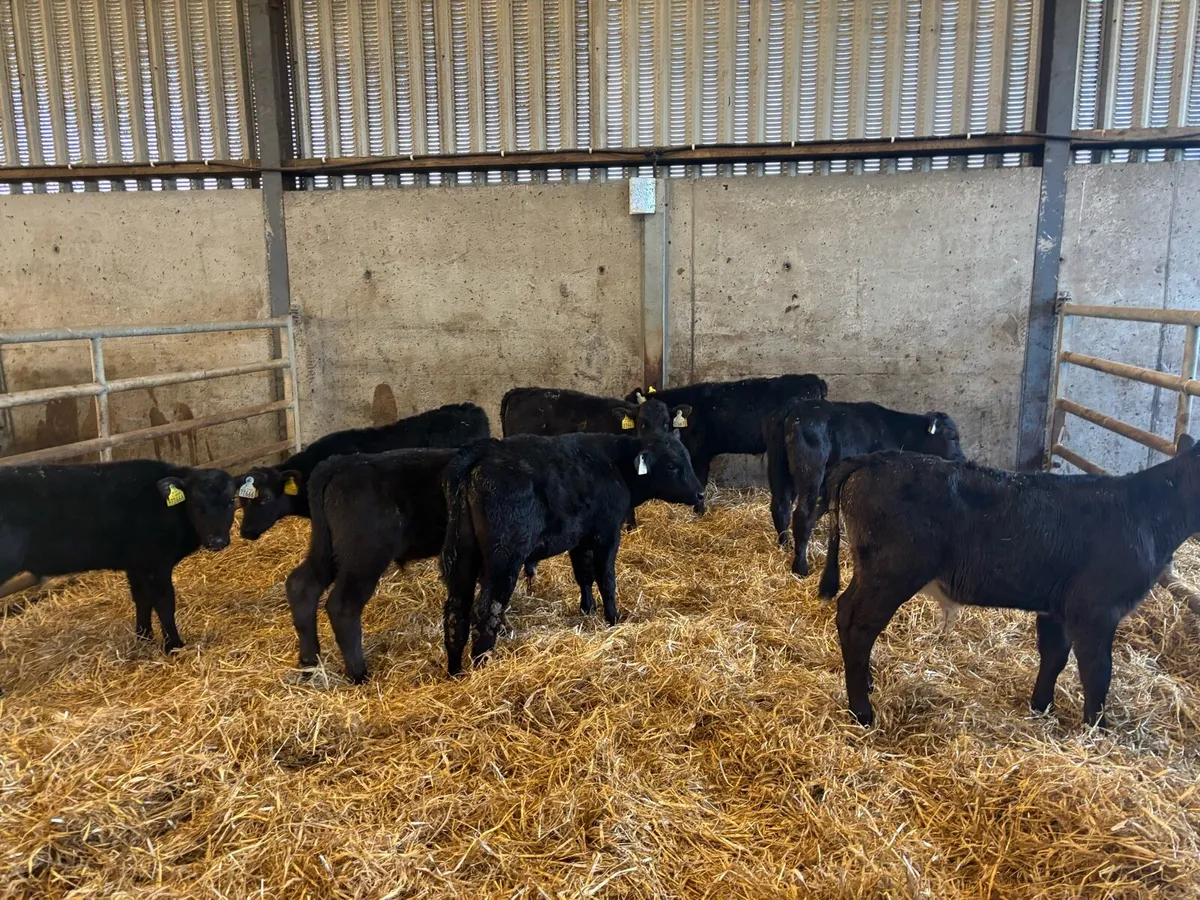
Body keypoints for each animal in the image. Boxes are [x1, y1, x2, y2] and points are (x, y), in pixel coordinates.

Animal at [0, 461, 237, 655]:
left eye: (231, 501)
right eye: (196, 504)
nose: (217, 541)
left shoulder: (137, 564)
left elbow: (142, 599)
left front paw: (144, 637)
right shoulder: (157, 564)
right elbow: (164, 602)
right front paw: (174, 646)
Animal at [283, 448, 457, 684]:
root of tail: (338, 464)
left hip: (326, 549)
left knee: (302, 585)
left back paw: (309, 663)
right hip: (364, 556)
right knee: (343, 606)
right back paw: (359, 673)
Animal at [441, 431, 705, 675]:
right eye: (671, 465)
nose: (701, 493)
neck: (615, 464)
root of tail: (484, 451)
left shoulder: (580, 539)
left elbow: (584, 575)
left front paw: (587, 609)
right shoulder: (607, 535)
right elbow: (606, 579)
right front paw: (614, 619)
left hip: (463, 556)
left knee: (456, 610)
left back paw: (456, 671)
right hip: (504, 557)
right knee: (487, 609)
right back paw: (482, 666)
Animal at [763, 400, 965, 576]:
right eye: (953, 437)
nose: (962, 459)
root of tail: (794, 407)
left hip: (780, 470)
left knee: (781, 506)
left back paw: (786, 545)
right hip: (810, 473)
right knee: (803, 514)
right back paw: (801, 567)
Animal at [817, 435, 1200, 729]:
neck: (1147, 513)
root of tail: (874, 460)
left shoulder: (1056, 607)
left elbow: (1054, 656)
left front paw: (1041, 707)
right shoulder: (1095, 609)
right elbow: (1097, 671)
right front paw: (1097, 729)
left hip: (870, 571)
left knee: (846, 610)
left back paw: (867, 683)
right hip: (892, 574)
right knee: (858, 626)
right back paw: (862, 712)